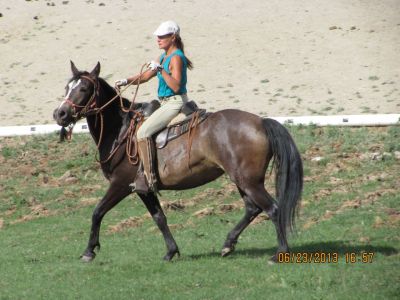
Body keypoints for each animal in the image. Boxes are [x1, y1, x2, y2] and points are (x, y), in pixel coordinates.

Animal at [53, 61, 304, 262]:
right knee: (253, 208)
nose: (60, 114)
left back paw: (279, 252)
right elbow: (159, 218)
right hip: (242, 180)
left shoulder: (121, 184)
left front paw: (89, 251)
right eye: (67, 87)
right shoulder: (144, 189)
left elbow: (97, 212)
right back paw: (227, 245)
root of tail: (261, 122)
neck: (121, 131)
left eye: (83, 88)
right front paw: (171, 251)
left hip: (248, 181)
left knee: (272, 209)